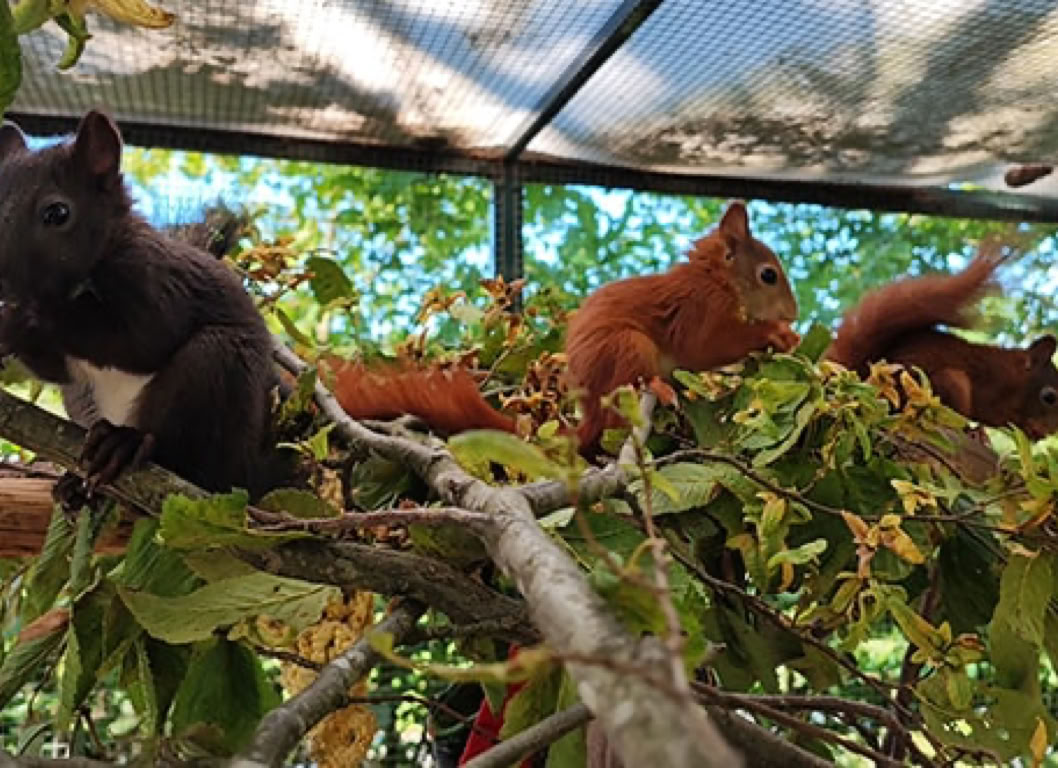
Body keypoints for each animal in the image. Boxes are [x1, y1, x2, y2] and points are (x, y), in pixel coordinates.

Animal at [0, 110, 280, 503]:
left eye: (57, 213)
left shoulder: (157, 281)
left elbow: (138, 340)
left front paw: (21, 318)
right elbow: (57, 370)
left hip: (218, 368)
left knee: (184, 458)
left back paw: (125, 444)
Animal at [327, 201, 800, 453]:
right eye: (768, 275)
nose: (794, 313)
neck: (715, 279)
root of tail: (586, 417)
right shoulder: (700, 312)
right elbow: (710, 347)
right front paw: (775, 333)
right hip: (629, 347)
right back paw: (659, 389)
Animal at [826, 245, 1058, 439]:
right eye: (1049, 397)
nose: (1048, 433)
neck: (1012, 376)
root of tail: (867, 380)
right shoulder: (994, 388)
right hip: (948, 383)